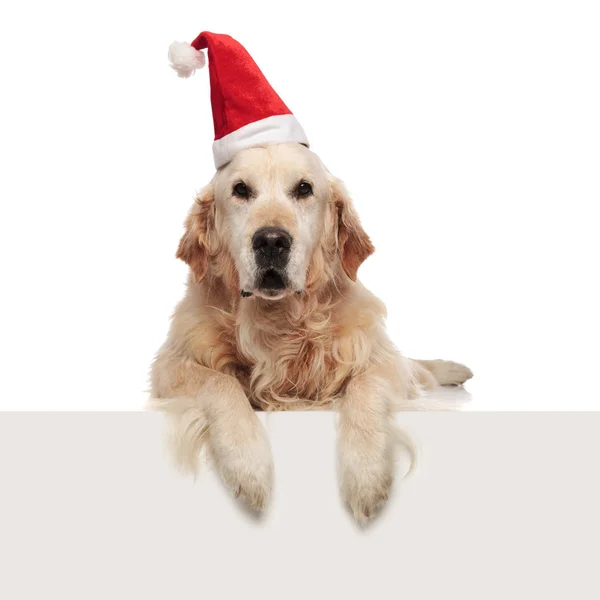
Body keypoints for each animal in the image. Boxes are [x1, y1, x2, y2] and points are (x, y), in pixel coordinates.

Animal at [149, 143, 468, 524]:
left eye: (304, 188)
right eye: (240, 189)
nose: (271, 241)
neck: (278, 320)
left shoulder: (379, 358)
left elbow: (366, 384)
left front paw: (367, 473)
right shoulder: (171, 363)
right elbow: (220, 383)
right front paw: (248, 465)